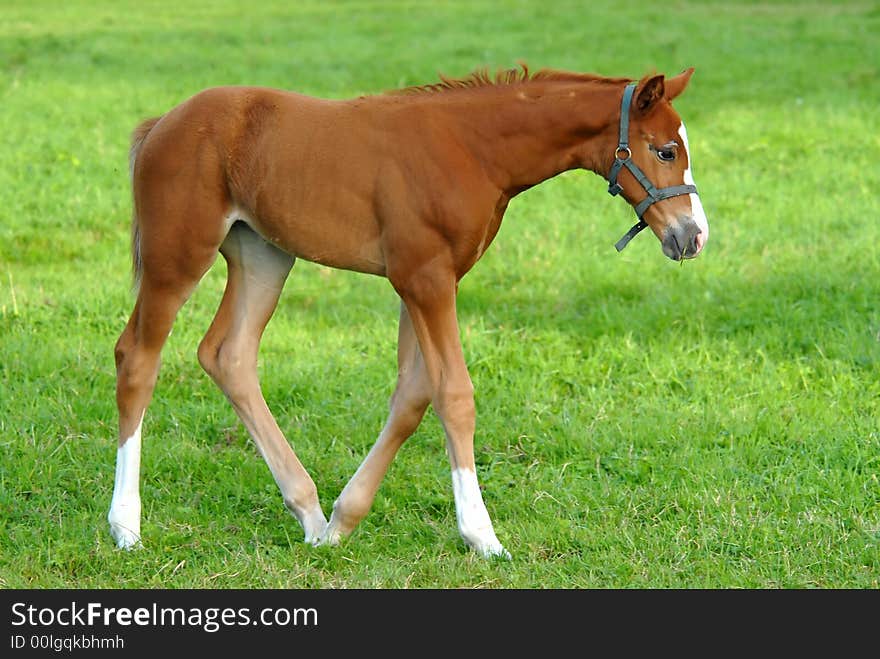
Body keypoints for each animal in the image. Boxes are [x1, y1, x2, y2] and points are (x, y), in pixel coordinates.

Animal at [108, 65, 708, 556]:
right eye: (664, 150)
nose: (693, 235)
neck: (472, 149)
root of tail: (162, 123)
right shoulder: (424, 279)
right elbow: (454, 394)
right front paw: (482, 536)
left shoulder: (426, 284)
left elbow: (414, 395)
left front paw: (343, 523)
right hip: (177, 255)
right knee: (137, 358)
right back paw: (126, 527)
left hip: (264, 255)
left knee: (228, 355)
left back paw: (309, 513)